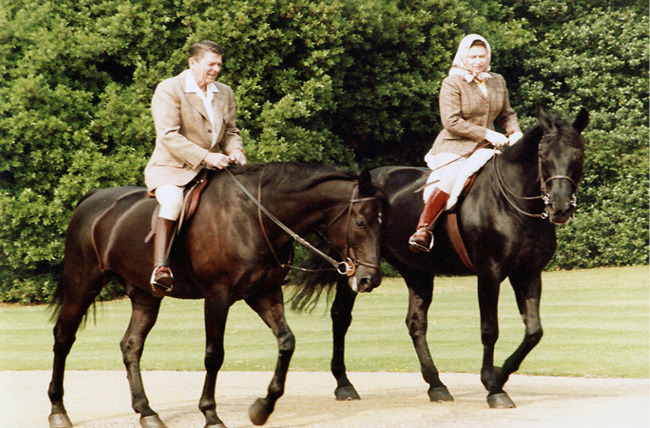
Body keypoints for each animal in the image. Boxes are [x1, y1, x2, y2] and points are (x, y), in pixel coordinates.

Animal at [49, 163, 390, 428]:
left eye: (382, 223)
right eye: (361, 222)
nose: (369, 279)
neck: (254, 217)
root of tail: (94, 198)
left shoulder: (264, 294)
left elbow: (286, 342)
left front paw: (262, 408)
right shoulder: (218, 297)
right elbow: (214, 355)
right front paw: (210, 414)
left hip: (146, 296)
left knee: (131, 346)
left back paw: (147, 412)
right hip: (82, 285)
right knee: (63, 338)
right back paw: (58, 410)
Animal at [288, 107, 588, 408]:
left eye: (578, 155)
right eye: (543, 155)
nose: (561, 208)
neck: (513, 204)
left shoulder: (528, 273)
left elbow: (534, 331)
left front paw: (500, 375)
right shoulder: (489, 274)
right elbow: (490, 329)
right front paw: (494, 387)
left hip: (416, 271)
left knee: (416, 323)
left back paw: (436, 385)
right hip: (355, 268)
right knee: (341, 316)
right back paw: (344, 384)